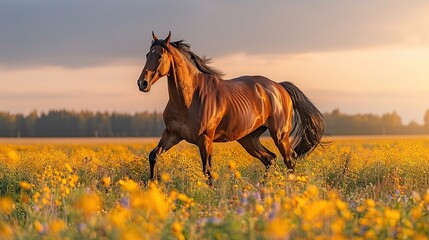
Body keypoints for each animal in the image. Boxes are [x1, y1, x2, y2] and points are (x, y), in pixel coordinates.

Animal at [135, 31, 322, 182]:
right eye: (147, 55)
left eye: (160, 56)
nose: (142, 83)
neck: (187, 101)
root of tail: (279, 87)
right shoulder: (172, 134)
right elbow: (153, 155)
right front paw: (152, 185)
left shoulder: (205, 139)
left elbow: (208, 170)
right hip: (249, 138)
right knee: (270, 159)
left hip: (280, 135)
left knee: (290, 159)